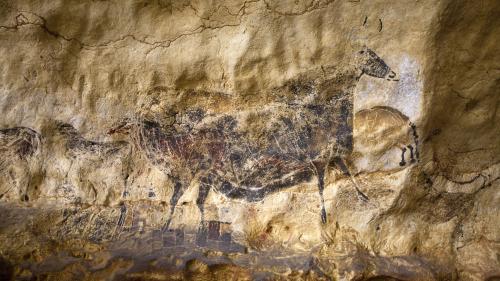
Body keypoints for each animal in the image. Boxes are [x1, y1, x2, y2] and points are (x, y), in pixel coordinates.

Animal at [109, 47, 398, 229]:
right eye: (373, 57)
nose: (394, 74)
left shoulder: (329, 154)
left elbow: (346, 174)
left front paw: (364, 197)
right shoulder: (318, 157)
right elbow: (322, 184)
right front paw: (326, 217)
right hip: (187, 170)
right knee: (169, 197)